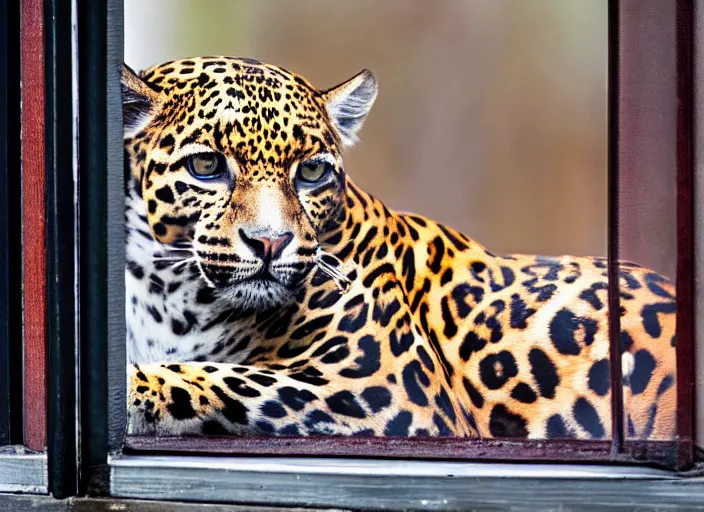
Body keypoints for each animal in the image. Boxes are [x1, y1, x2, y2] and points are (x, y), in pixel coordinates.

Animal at [124, 57, 680, 440]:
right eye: (206, 167)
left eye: (311, 171)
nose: (271, 242)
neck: (168, 295)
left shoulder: (388, 391)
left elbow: (224, 377)